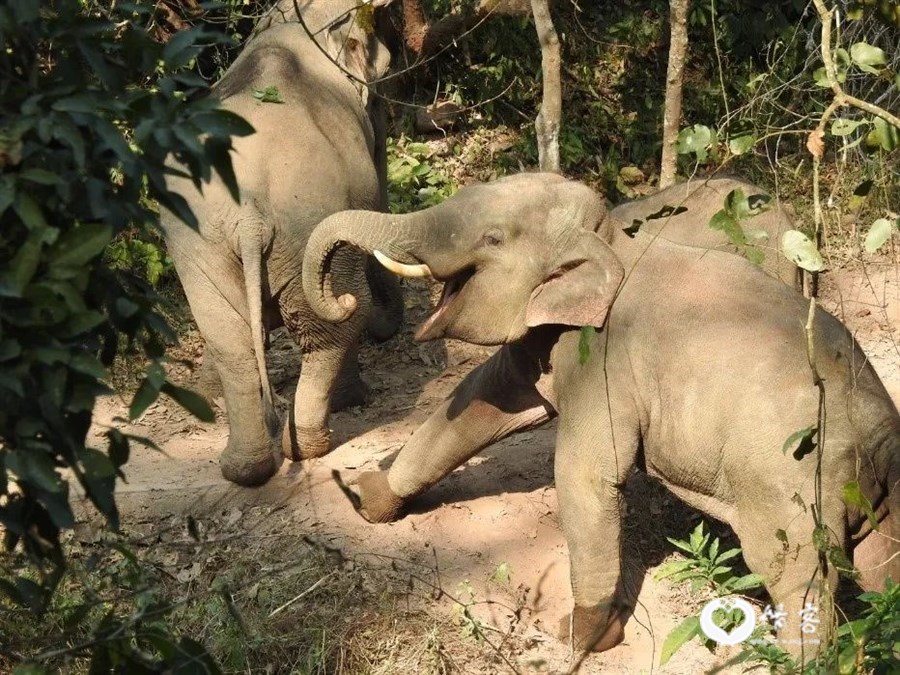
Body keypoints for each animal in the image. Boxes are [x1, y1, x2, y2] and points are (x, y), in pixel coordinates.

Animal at [161, 0, 400, 488]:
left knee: (227, 336)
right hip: (305, 222)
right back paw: (308, 444)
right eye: (386, 75)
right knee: (338, 315)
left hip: (197, 242)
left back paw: (244, 469)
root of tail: (248, 209)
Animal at [302, 172, 900, 656]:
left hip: (790, 484)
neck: (607, 239)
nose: (345, 300)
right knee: (880, 563)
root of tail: (876, 431)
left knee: (801, 578)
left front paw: (580, 639)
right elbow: (485, 397)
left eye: (493, 238)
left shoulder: (606, 360)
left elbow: (585, 474)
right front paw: (365, 498)